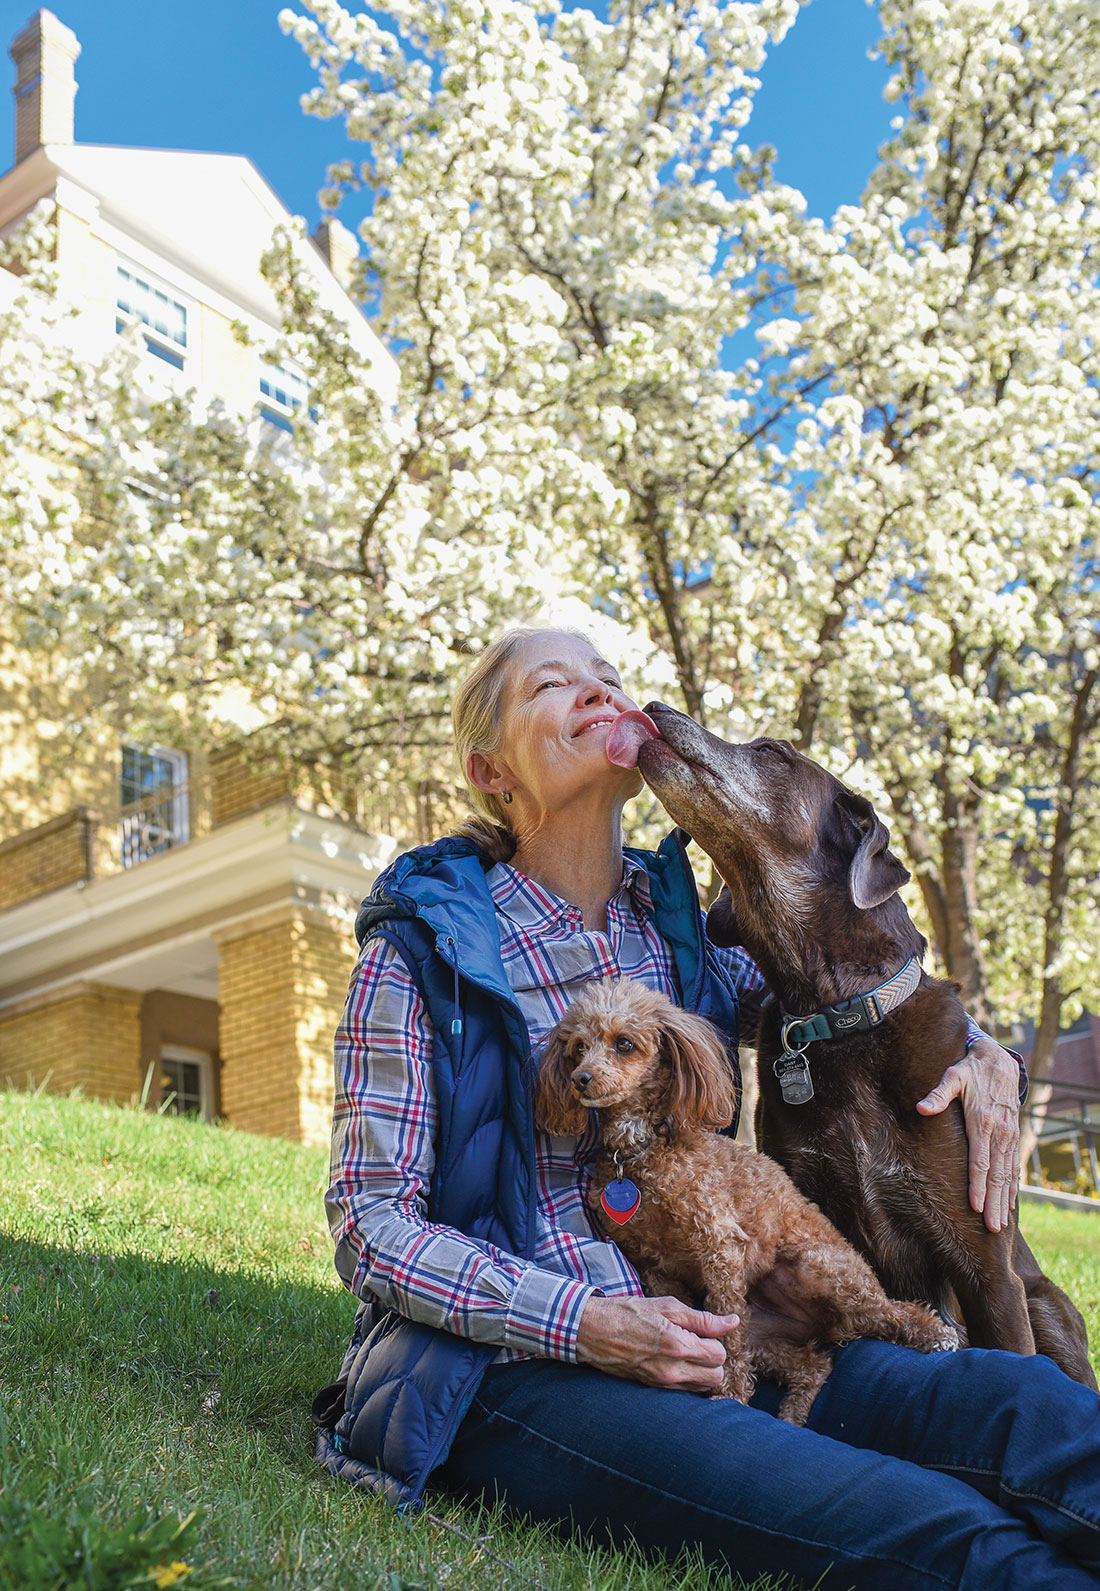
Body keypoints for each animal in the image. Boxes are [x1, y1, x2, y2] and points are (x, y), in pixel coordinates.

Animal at [538, 973, 961, 1425]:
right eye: (578, 1048)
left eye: (624, 1044)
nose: (581, 1078)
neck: (644, 1150)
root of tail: (825, 1328)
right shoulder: (656, 1266)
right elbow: (704, 1329)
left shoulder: (720, 1247)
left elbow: (728, 1341)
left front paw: (730, 1397)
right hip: (766, 1333)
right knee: (814, 1364)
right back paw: (793, 1414)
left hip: (823, 1267)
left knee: (892, 1310)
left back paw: (936, 1335)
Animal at [627, 703, 1100, 1387]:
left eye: (772, 752)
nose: (657, 709)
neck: (838, 1017)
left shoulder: (986, 1268)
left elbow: (1010, 1349)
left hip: (1048, 1305)